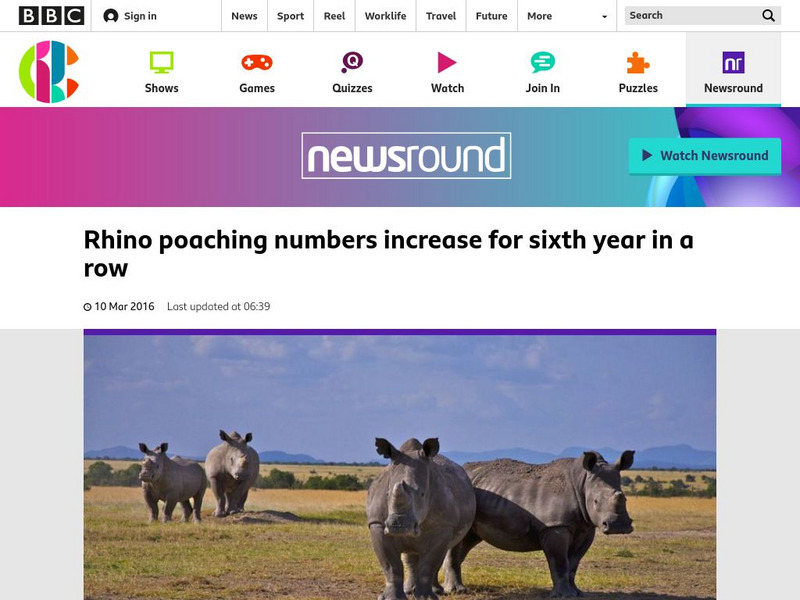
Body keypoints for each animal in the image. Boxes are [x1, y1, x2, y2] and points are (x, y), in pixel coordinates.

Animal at [366, 438, 476, 600]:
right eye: (387, 494)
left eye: (423, 494)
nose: (399, 527)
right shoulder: (377, 524)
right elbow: (391, 565)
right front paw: (392, 598)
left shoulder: (443, 526)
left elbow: (428, 565)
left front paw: (426, 598)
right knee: (411, 556)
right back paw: (409, 591)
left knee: (448, 549)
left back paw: (438, 591)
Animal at [443, 450, 635, 597]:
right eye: (595, 501)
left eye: (625, 499)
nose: (619, 527)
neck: (582, 482)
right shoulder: (556, 526)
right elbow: (560, 561)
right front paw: (564, 595)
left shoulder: (586, 528)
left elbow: (573, 562)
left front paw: (577, 593)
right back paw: (457, 591)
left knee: (468, 540)